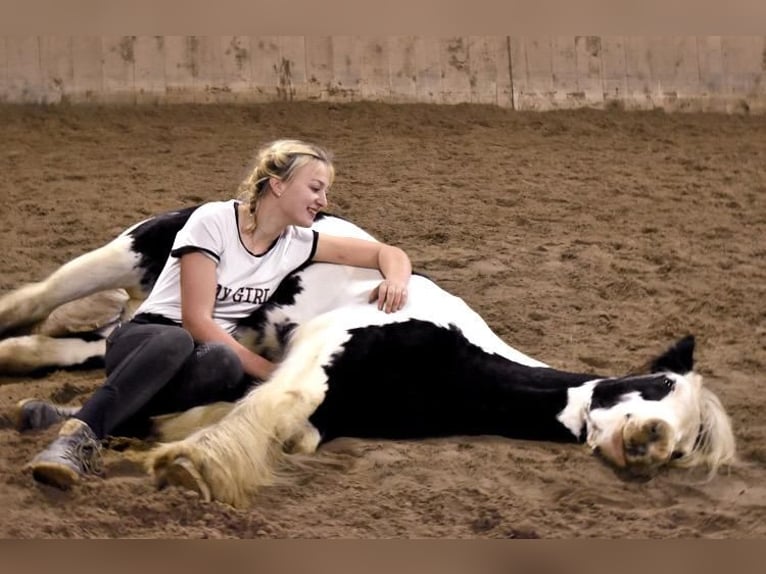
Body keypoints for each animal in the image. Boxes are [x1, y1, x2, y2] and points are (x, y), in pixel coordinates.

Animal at [0, 206, 736, 508]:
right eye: (656, 383)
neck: (447, 361)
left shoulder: (313, 421)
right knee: (40, 299)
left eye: (683, 445)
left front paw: (156, 441)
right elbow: (260, 412)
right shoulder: (312, 362)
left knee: (70, 344)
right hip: (124, 251)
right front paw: (190, 467)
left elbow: (246, 418)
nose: (649, 442)